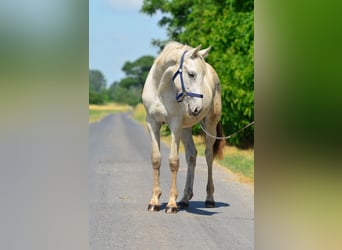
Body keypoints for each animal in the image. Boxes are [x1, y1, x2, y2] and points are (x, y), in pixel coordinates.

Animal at [142, 41, 224, 213]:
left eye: (202, 76)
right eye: (191, 74)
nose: (197, 108)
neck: (161, 89)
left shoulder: (175, 125)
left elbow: (174, 162)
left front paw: (171, 204)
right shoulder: (152, 123)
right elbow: (156, 159)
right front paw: (154, 201)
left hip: (209, 125)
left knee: (208, 156)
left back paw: (209, 199)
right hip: (186, 128)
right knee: (192, 155)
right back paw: (185, 199)